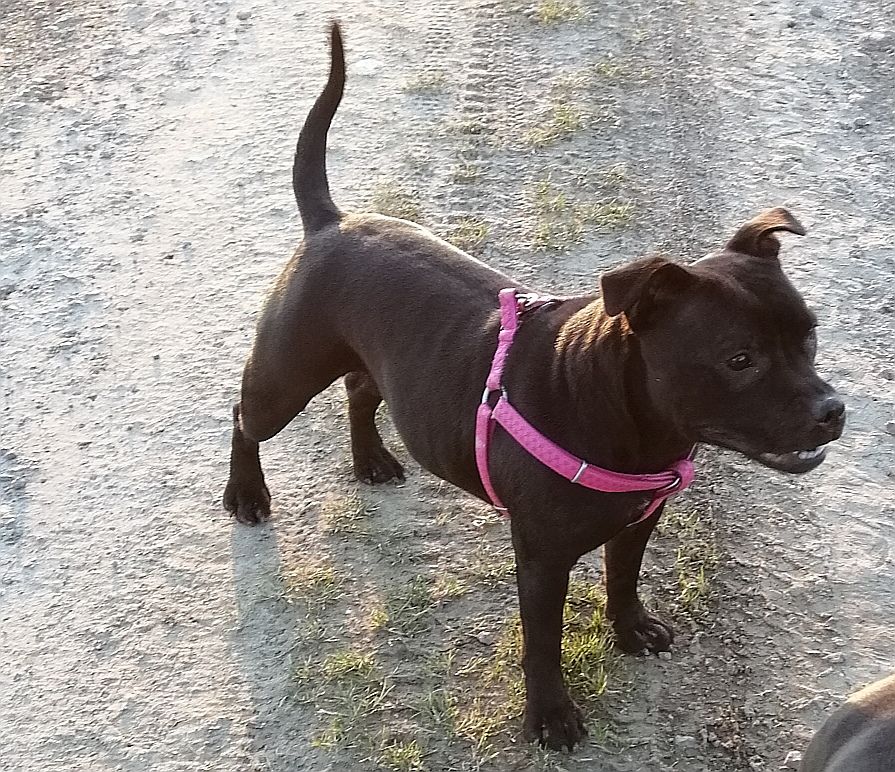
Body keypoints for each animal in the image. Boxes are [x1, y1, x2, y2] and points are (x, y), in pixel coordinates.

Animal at [224, 23, 845, 750]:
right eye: (739, 359)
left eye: (809, 335)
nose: (832, 410)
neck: (616, 407)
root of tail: (332, 221)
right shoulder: (542, 559)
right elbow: (543, 643)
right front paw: (550, 715)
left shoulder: (638, 520)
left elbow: (623, 577)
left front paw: (630, 629)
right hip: (285, 378)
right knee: (243, 415)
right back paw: (246, 494)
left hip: (375, 363)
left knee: (359, 391)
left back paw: (371, 460)